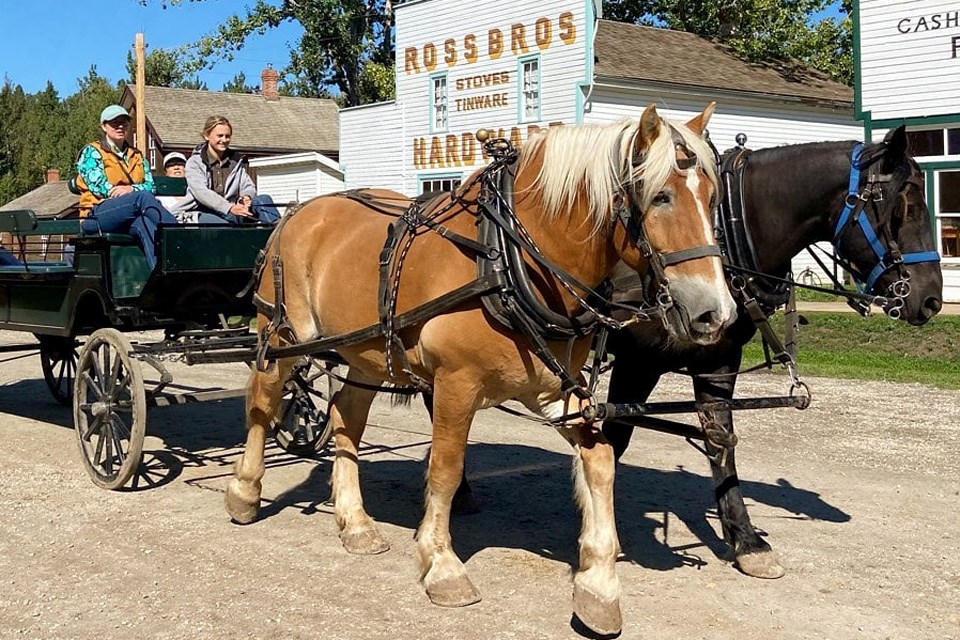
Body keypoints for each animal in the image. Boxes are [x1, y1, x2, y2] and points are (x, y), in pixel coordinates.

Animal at [225, 105, 736, 636]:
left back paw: (356, 522)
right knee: (263, 404)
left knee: (347, 418)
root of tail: (299, 212)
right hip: (284, 337)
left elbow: (601, 461)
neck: (509, 261)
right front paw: (442, 564)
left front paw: (599, 585)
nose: (716, 314)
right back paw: (245, 491)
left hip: (365, 352)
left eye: (713, 198)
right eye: (660, 196)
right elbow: (445, 470)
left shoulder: (553, 392)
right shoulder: (456, 383)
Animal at [604, 125, 940, 580]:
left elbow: (721, 441)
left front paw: (746, 541)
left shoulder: (719, 361)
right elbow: (612, 438)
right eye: (903, 205)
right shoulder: (636, 362)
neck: (724, 236)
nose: (932, 298)